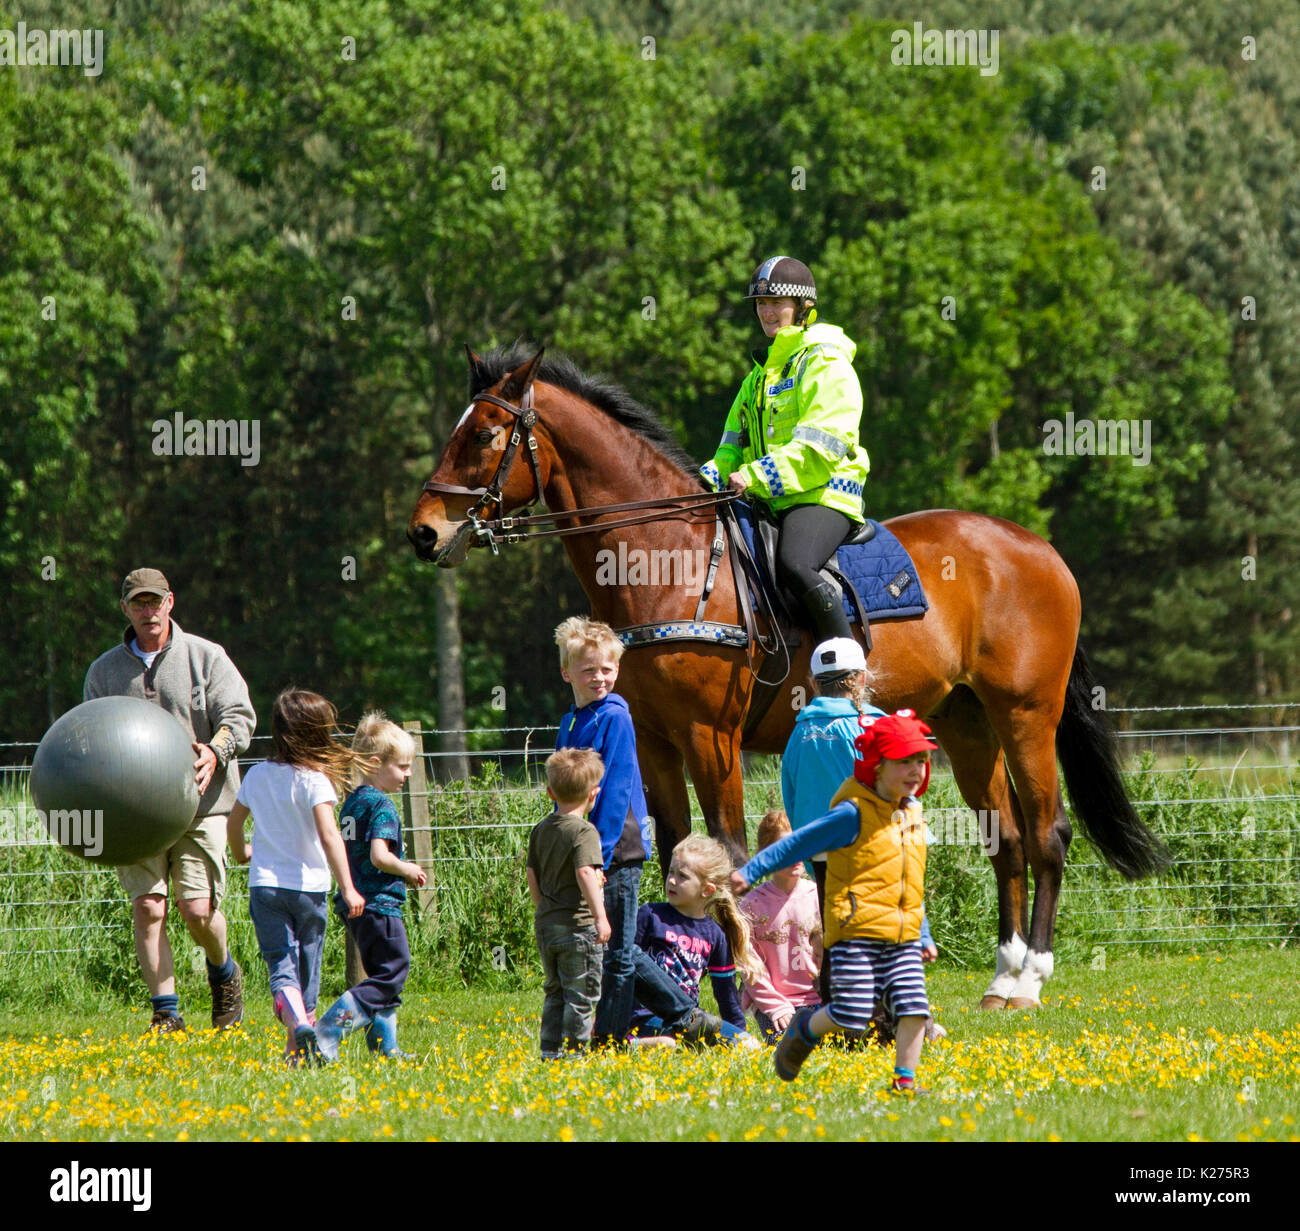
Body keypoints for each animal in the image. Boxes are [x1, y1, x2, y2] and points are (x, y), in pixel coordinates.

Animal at [407, 345, 1167, 1008]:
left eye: (484, 434)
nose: (423, 532)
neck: (668, 557)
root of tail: (1039, 548)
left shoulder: (710, 737)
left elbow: (729, 852)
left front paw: (742, 974)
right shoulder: (655, 742)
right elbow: (676, 849)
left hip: (1024, 716)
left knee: (1045, 835)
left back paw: (1030, 977)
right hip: (966, 722)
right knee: (1003, 838)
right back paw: (1002, 977)